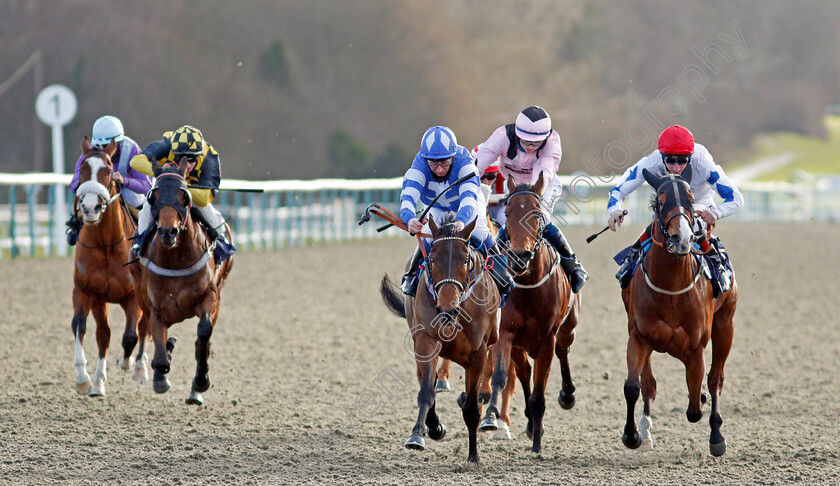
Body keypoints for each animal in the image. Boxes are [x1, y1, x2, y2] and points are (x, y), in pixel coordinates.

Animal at [71, 136, 149, 394]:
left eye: (107, 170)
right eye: (82, 169)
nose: (90, 208)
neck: (106, 244)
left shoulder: (133, 296)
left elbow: (130, 336)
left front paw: (127, 363)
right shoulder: (87, 291)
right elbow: (82, 327)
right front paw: (85, 379)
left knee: (143, 328)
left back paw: (140, 367)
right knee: (104, 334)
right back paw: (98, 383)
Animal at [131, 161, 236, 404]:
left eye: (184, 196)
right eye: (153, 196)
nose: (168, 232)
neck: (176, 259)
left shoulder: (210, 296)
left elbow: (204, 333)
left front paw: (200, 382)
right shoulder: (155, 307)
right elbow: (159, 349)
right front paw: (160, 375)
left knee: (201, 341)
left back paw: (196, 390)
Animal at [382, 213, 506, 464]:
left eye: (465, 259)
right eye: (433, 259)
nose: (447, 307)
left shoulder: (478, 353)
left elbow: (471, 408)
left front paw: (473, 457)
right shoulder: (426, 341)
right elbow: (426, 393)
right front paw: (419, 434)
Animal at [476, 174, 580, 452]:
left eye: (537, 213)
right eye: (508, 212)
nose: (519, 255)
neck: (530, 284)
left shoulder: (547, 339)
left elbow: (540, 393)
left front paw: (537, 445)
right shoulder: (506, 333)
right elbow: (501, 376)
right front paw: (491, 416)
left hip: (568, 327)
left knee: (563, 351)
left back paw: (567, 395)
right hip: (519, 344)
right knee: (523, 372)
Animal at [620, 167, 740, 456]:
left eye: (691, 199)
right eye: (661, 201)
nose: (681, 238)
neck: (670, 289)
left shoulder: (696, 347)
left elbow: (695, 406)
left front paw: (706, 411)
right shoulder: (638, 337)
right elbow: (633, 386)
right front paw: (632, 435)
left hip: (725, 325)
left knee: (715, 379)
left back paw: (717, 436)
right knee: (649, 384)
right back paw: (645, 432)